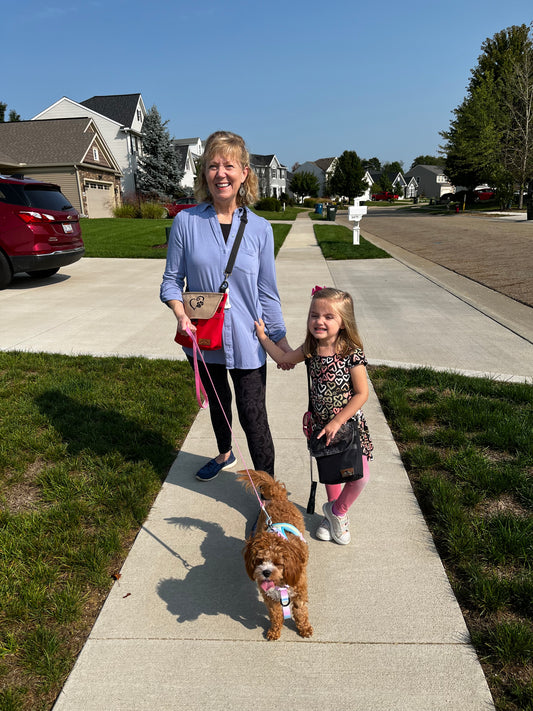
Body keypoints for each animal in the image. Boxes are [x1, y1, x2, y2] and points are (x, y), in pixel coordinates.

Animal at [237, 470, 312, 644]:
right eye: (259, 561)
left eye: (278, 563)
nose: (265, 572)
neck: (280, 582)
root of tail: (278, 497)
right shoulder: (270, 598)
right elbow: (276, 615)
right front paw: (274, 631)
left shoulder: (299, 593)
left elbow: (301, 612)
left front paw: (304, 629)